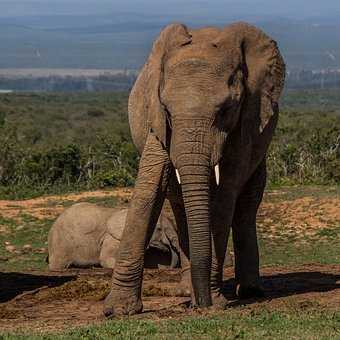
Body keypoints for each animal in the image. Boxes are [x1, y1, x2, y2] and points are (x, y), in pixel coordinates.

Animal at [103, 21, 284, 316]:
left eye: (225, 110)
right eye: (167, 110)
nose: (203, 305)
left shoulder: (247, 119)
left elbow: (225, 197)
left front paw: (215, 301)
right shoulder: (157, 124)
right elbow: (148, 189)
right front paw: (118, 311)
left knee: (245, 207)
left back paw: (248, 291)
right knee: (180, 207)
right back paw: (188, 292)